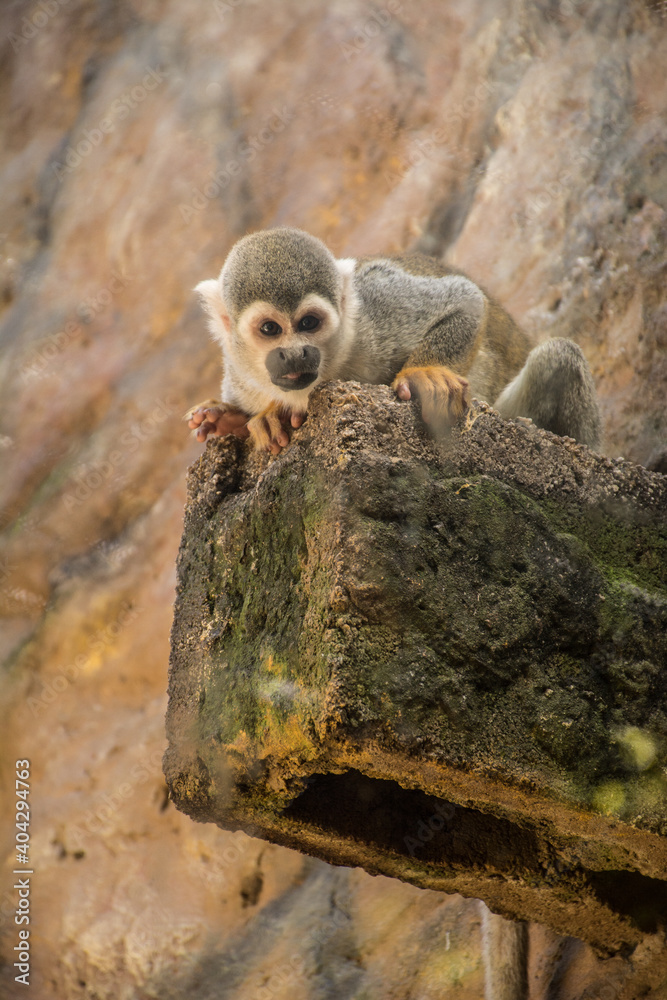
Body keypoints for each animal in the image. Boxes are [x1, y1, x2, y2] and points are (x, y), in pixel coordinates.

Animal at [186, 227, 601, 455]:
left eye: (308, 323)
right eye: (270, 330)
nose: (295, 354)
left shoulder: (372, 321)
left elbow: (463, 299)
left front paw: (426, 374)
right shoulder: (240, 374)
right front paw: (235, 417)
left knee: (558, 357)